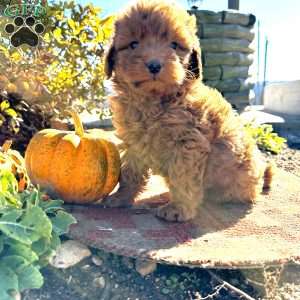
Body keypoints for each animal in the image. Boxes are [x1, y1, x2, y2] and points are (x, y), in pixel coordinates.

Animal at [102, 0, 274, 220]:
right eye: (133, 44)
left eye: (174, 45)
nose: (154, 65)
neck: (154, 101)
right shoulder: (135, 141)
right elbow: (130, 172)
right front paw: (121, 197)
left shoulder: (188, 143)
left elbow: (182, 176)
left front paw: (178, 208)